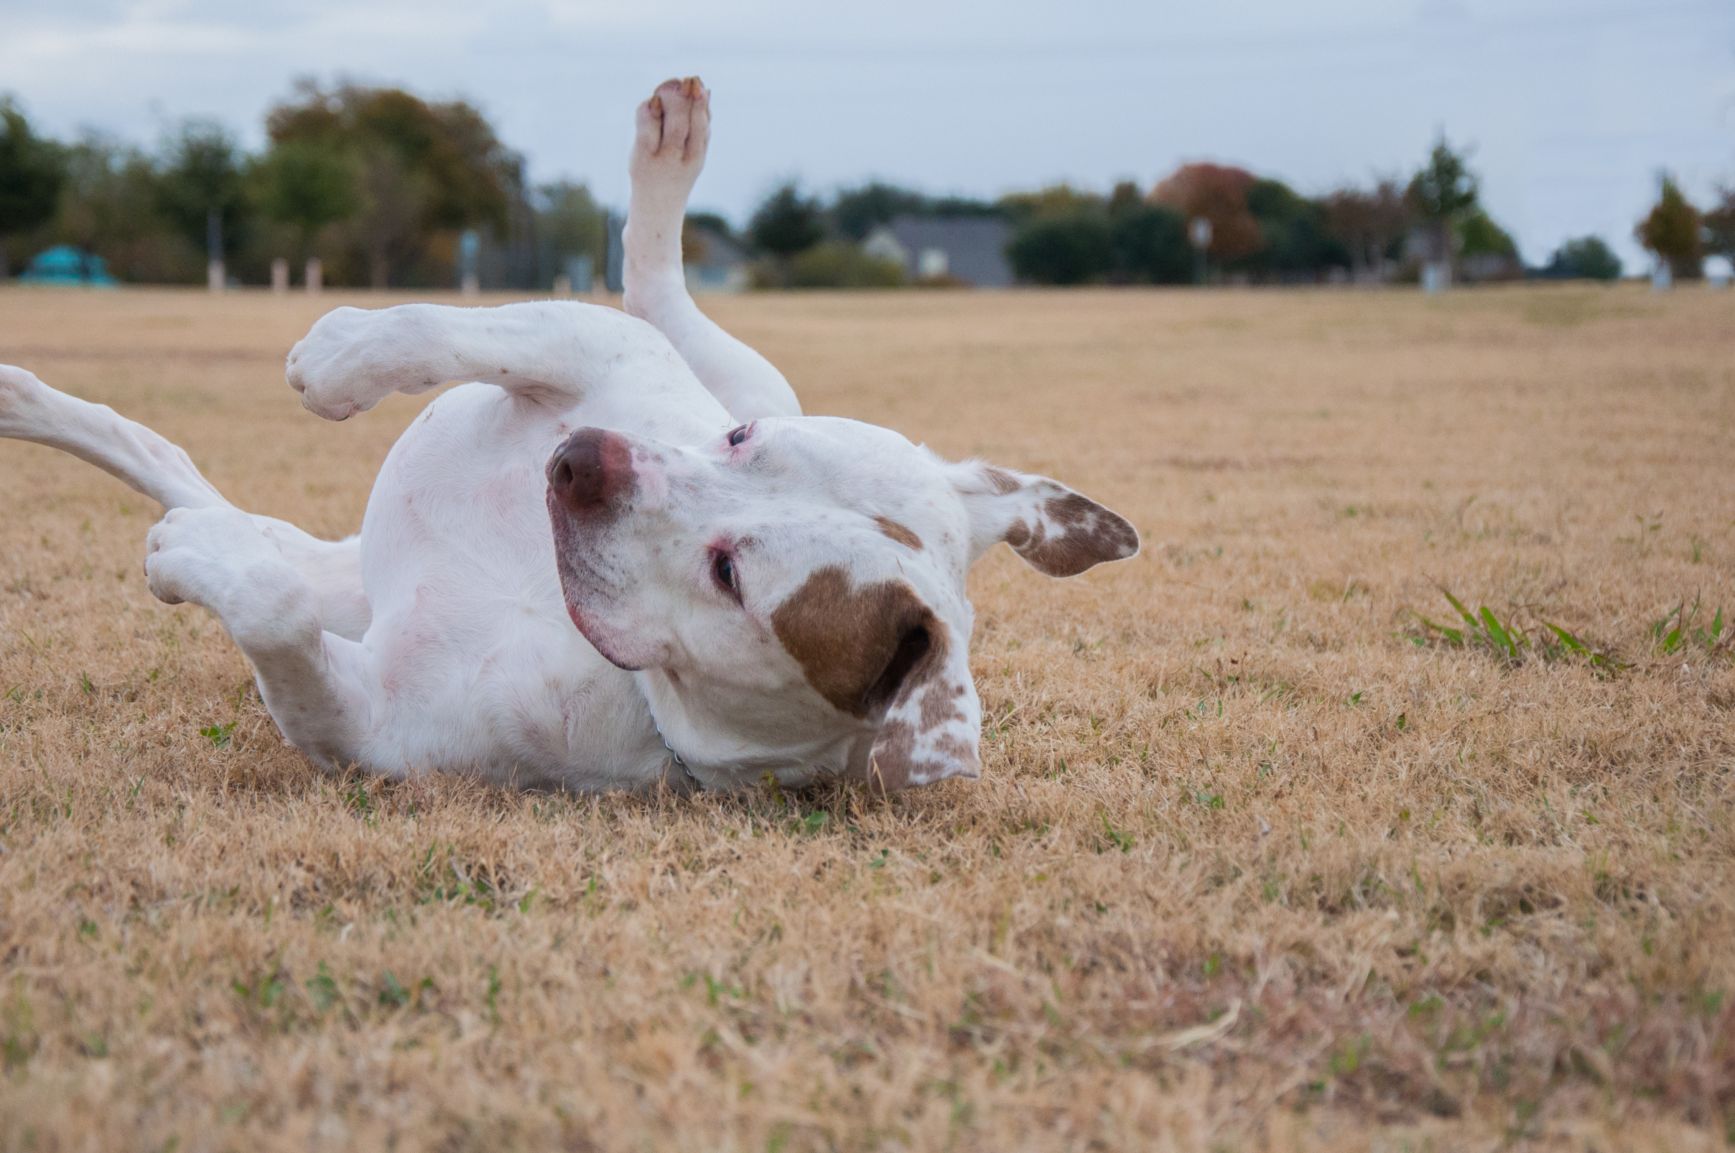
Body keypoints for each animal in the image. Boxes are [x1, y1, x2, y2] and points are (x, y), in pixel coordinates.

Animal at [0, 78, 1138, 790]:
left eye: (730, 573)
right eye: (740, 441)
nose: (583, 456)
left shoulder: (367, 727)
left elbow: (273, 613)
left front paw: (194, 557)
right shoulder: (595, 352)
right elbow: (458, 328)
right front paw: (339, 355)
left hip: (345, 590)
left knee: (234, 524)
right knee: (653, 286)